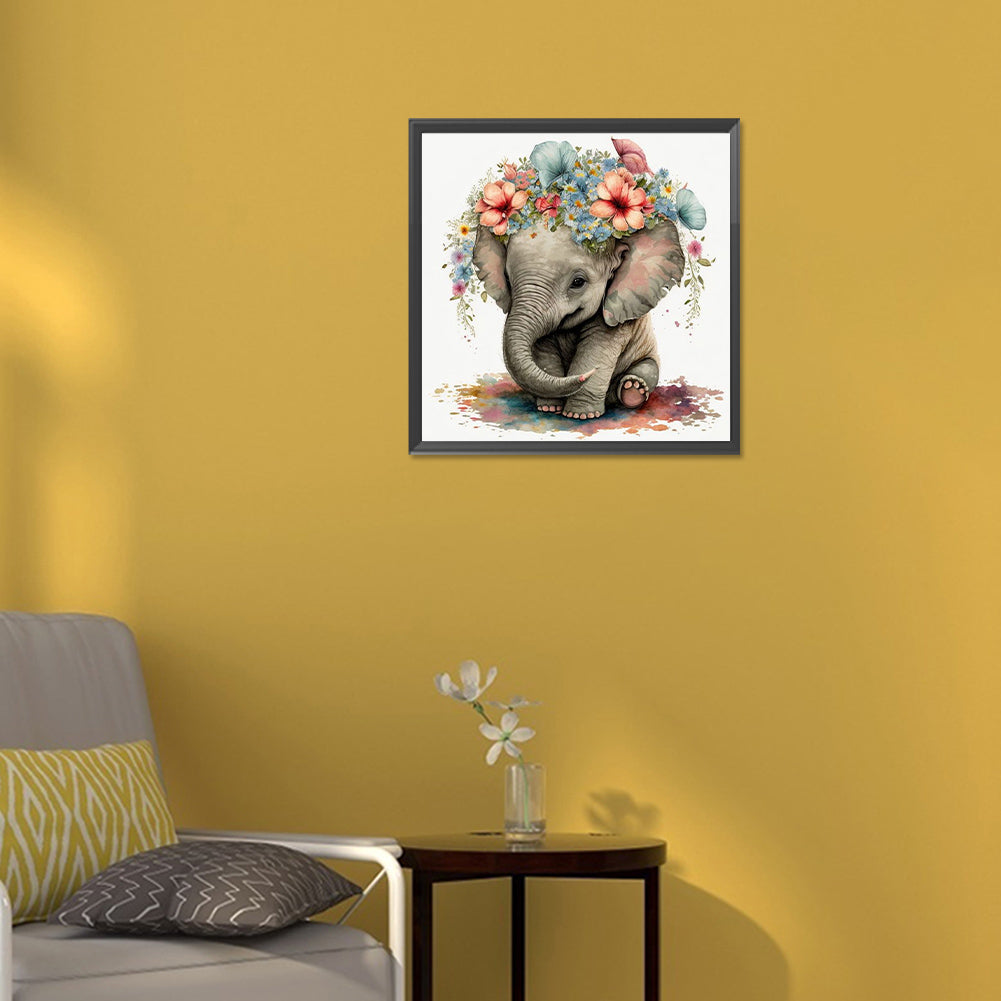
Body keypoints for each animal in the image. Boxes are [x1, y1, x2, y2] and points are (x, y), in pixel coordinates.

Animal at [472, 218, 686, 419]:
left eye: (578, 282)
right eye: (508, 279)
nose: (585, 377)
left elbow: (596, 349)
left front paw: (580, 415)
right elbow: (544, 350)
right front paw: (549, 409)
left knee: (649, 368)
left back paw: (633, 389)